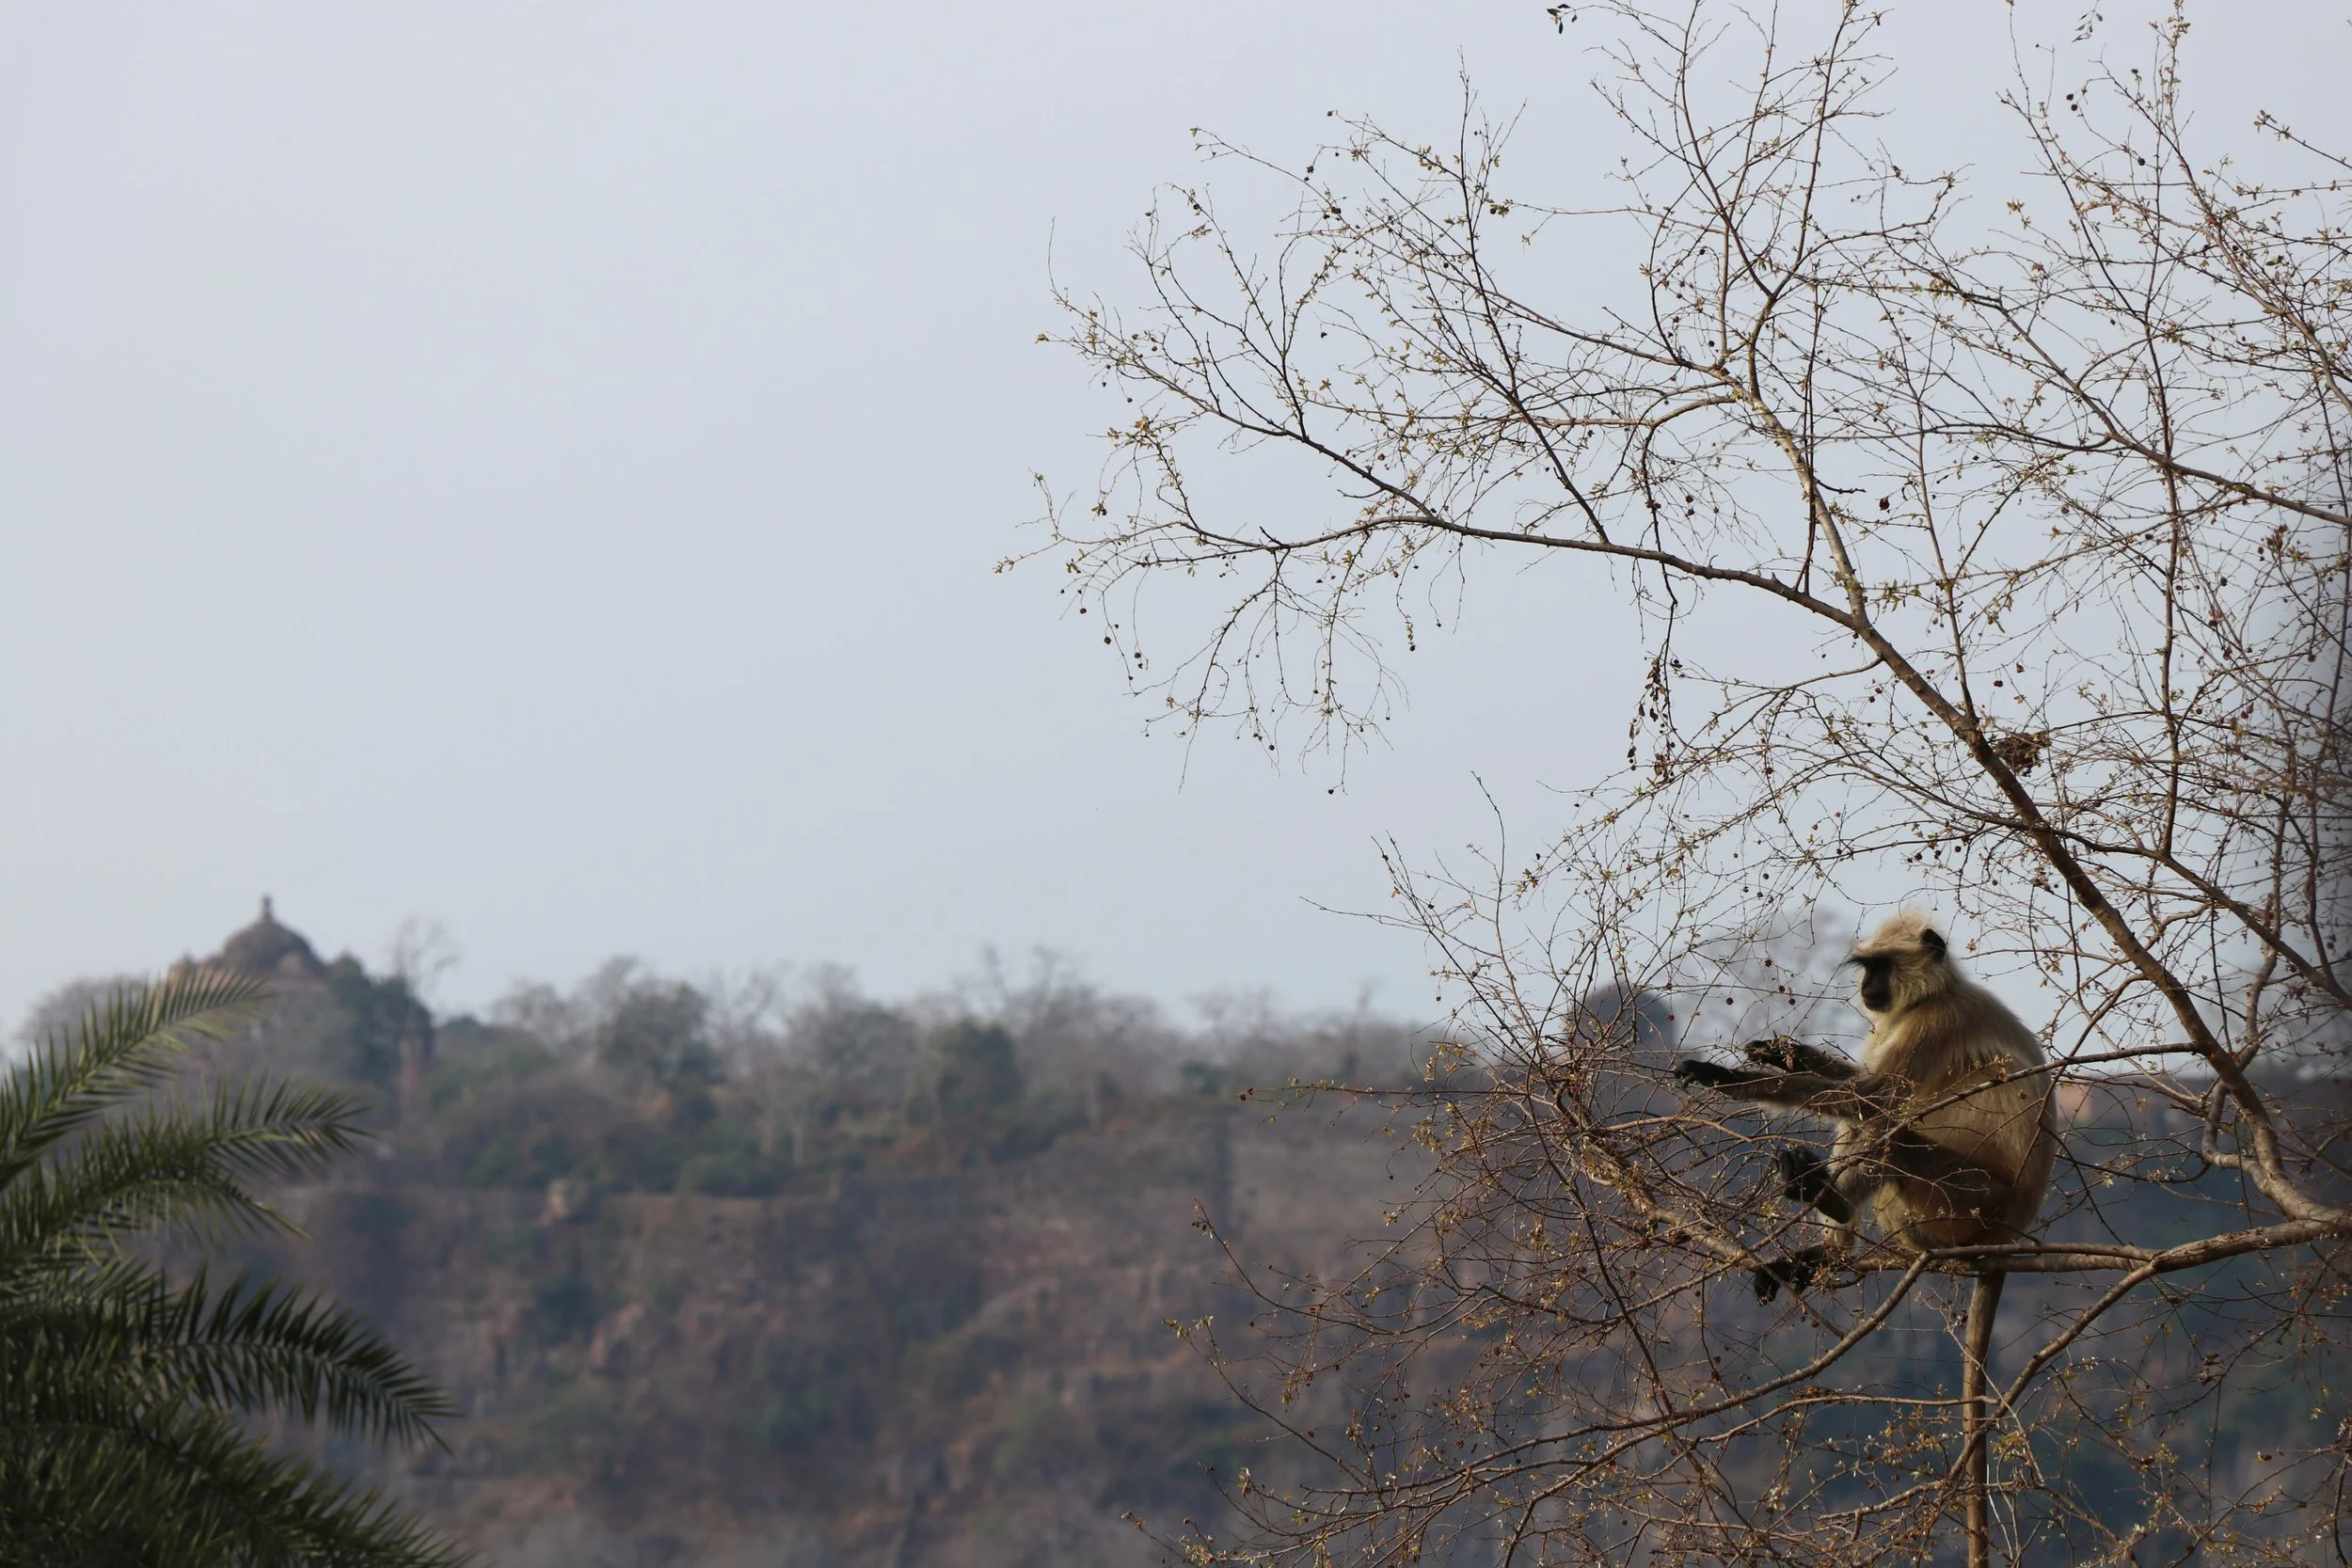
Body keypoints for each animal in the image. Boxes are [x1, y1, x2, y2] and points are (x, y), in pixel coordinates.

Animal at [1673, 914, 2057, 1568]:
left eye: (1881, 966)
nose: (1868, 987)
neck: (1936, 992)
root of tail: (2011, 1229)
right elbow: (1858, 1086)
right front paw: (1783, 1052)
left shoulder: (1935, 1022)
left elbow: (1871, 1096)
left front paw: (1727, 1078)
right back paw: (1825, 1250)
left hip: (1969, 1200)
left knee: (1888, 1124)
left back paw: (1823, 1195)